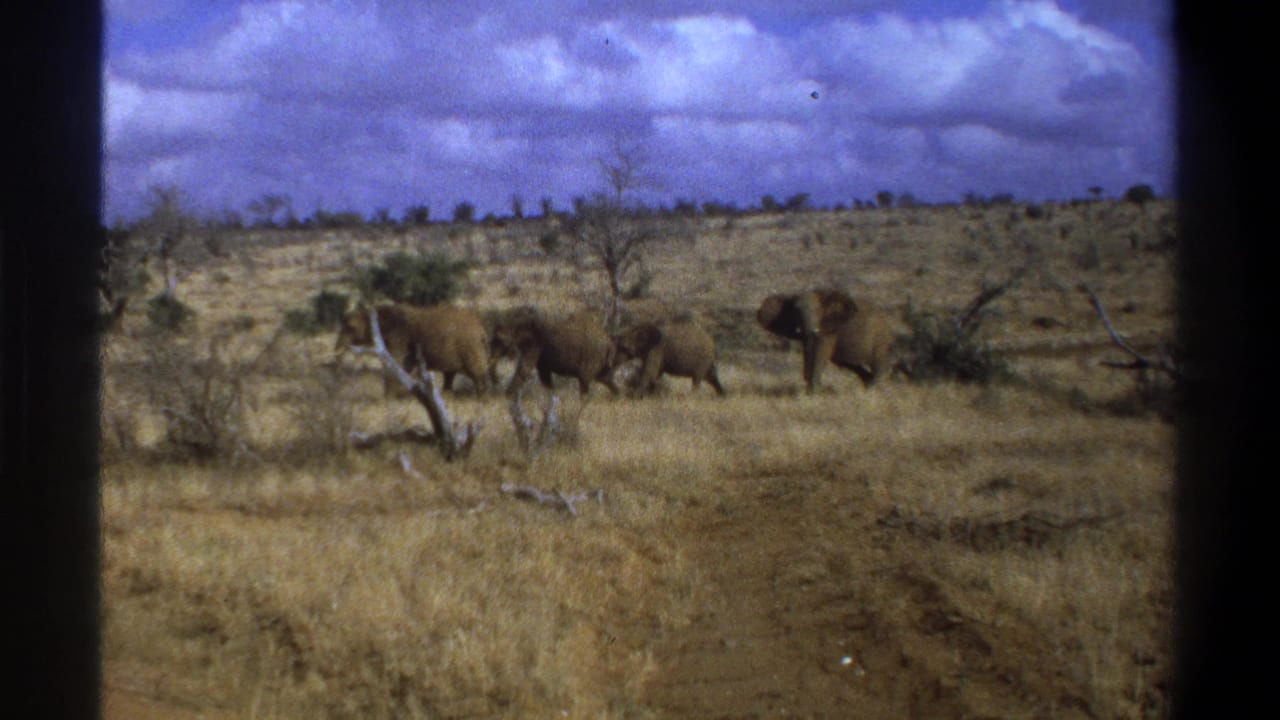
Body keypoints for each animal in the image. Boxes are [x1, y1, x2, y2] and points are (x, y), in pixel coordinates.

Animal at [334, 303, 490, 395]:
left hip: (470, 346)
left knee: (477, 373)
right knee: (450, 375)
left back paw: (482, 398)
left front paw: (390, 398)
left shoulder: (398, 337)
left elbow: (395, 364)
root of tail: (481, 327)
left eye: (350, 327)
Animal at [757, 289, 895, 393]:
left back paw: (870, 389)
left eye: (817, 310)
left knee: (880, 365)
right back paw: (866, 384)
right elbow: (809, 351)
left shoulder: (829, 331)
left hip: (881, 339)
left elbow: (819, 353)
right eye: (795, 311)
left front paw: (813, 393)